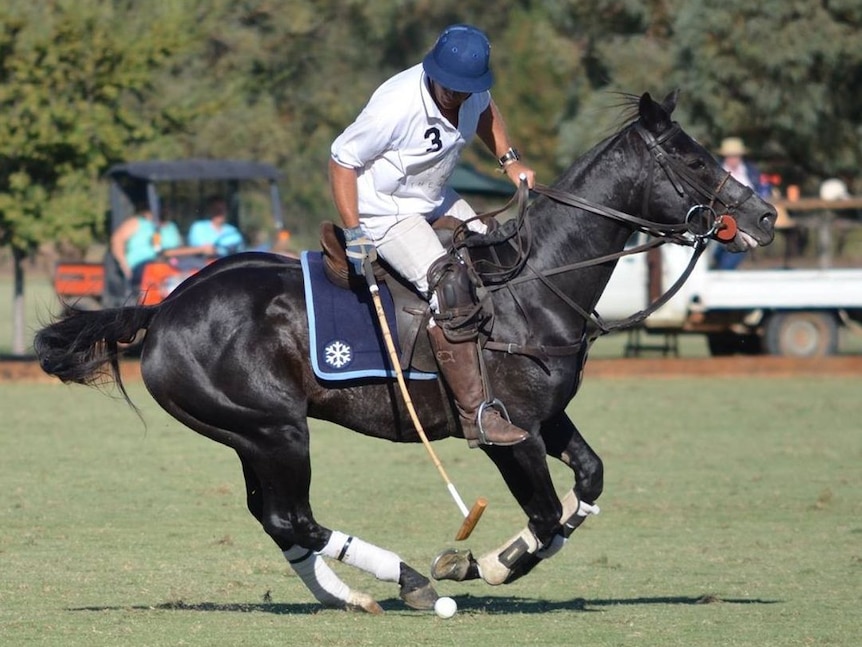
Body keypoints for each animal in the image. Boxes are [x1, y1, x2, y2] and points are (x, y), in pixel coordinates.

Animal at [33, 91, 780, 612]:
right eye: (694, 159)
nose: (766, 216)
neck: (536, 281)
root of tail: (162, 308)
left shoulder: (546, 415)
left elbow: (588, 482)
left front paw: (491, 557)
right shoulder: (505, 429)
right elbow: (544, 517)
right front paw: (476, 564)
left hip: (247, 433)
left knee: (276, 519)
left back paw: (355, 596)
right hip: (276, 428)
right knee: (292, 515)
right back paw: (413, 580)